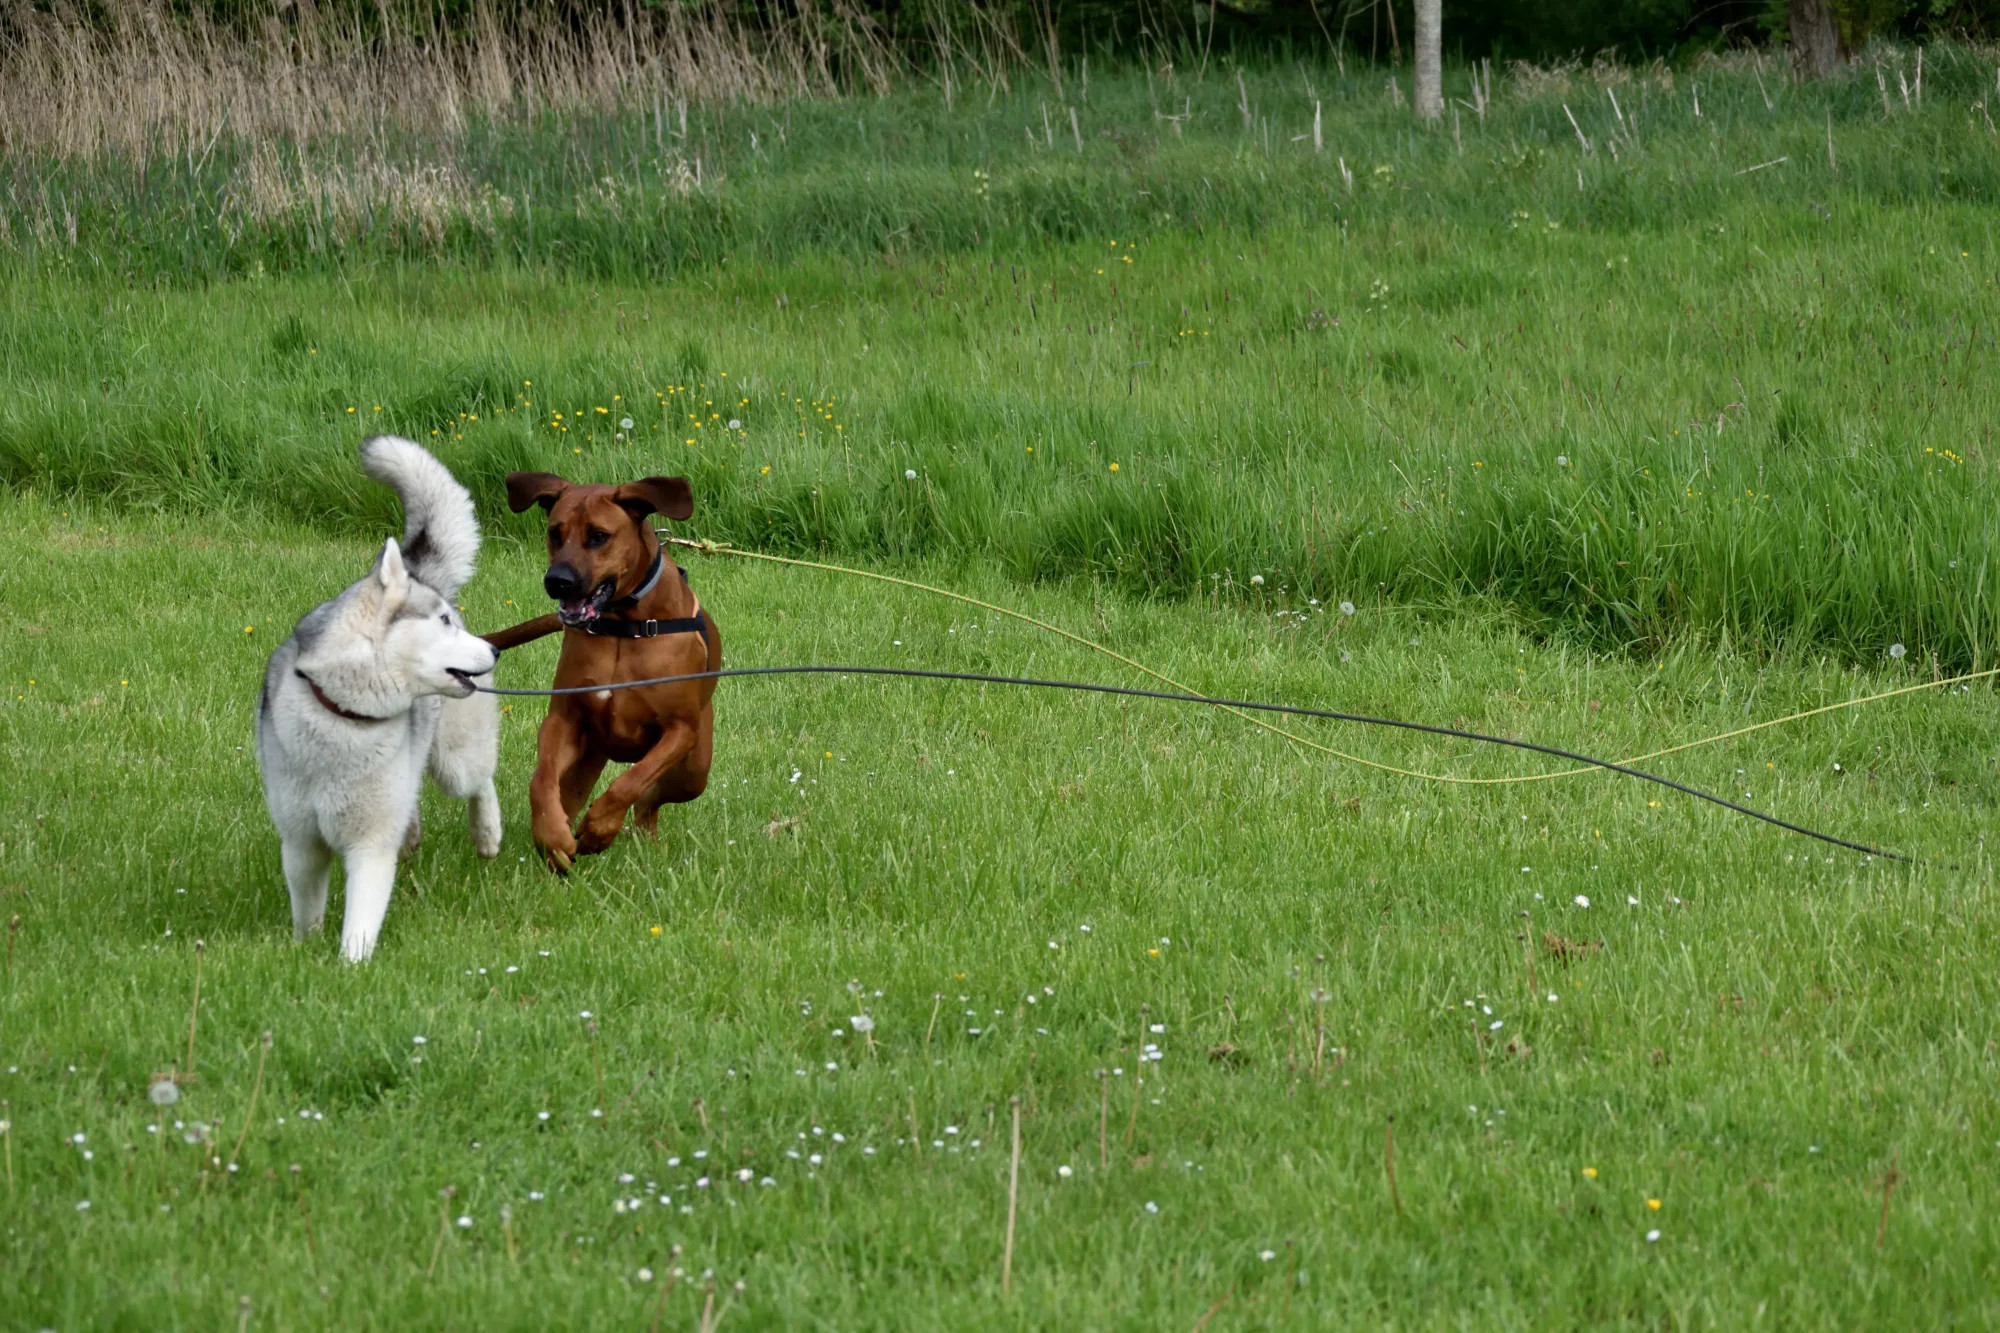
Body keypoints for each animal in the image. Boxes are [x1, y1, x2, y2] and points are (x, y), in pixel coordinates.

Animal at [504, 470, 724, 872]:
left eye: (599, 536)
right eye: (555, 532)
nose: (556, 581)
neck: (625, 625)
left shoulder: (680, 730)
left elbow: (631, 781)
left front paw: (600, 826)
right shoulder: (563, 719)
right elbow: (540, 780)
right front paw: (552, 835)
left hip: (693, 771)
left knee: (649, 798)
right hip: (586, 759)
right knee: (570, 794)